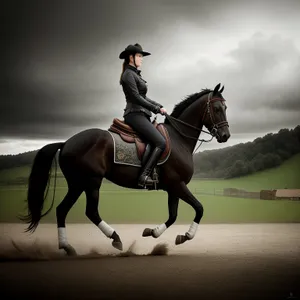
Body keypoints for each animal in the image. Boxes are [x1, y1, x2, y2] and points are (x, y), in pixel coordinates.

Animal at [20, 82, 230, 255]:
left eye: (225, 107)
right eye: (217, 108)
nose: (226, 135)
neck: (179, 139)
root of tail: (66, 143)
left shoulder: (173, 188)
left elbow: (173, 216)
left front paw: (152, 232)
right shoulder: (177, 185)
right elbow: (199, 208)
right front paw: (186, 236)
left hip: (77, 184)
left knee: (62, 210)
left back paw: (67, 247)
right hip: (91, 181)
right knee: (91, 212)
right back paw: (115, 238)